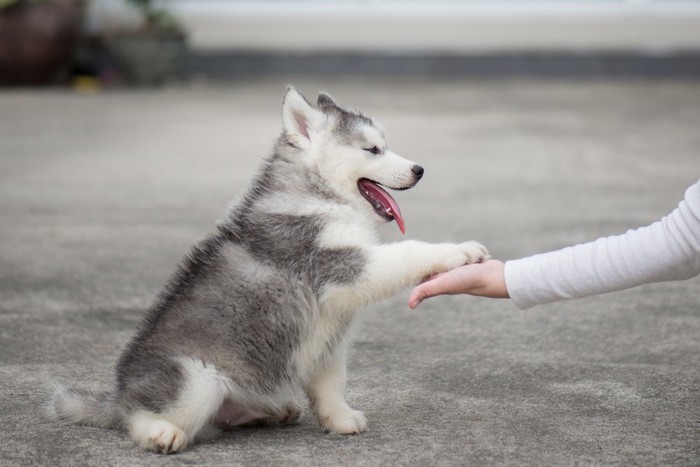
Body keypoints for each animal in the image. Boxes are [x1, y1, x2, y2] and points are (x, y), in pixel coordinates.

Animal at [49, 87, 490, 454]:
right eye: (373, 149)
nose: (419, 170)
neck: (318, 194)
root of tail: (120, 394)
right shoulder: (340, 265)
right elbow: (408, 252)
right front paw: (459, 251)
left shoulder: (328, 334)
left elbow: (331, 383)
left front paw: (339, 419)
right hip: (196, 380)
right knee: (141, 418)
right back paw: (160, 433)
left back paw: (272, 411)